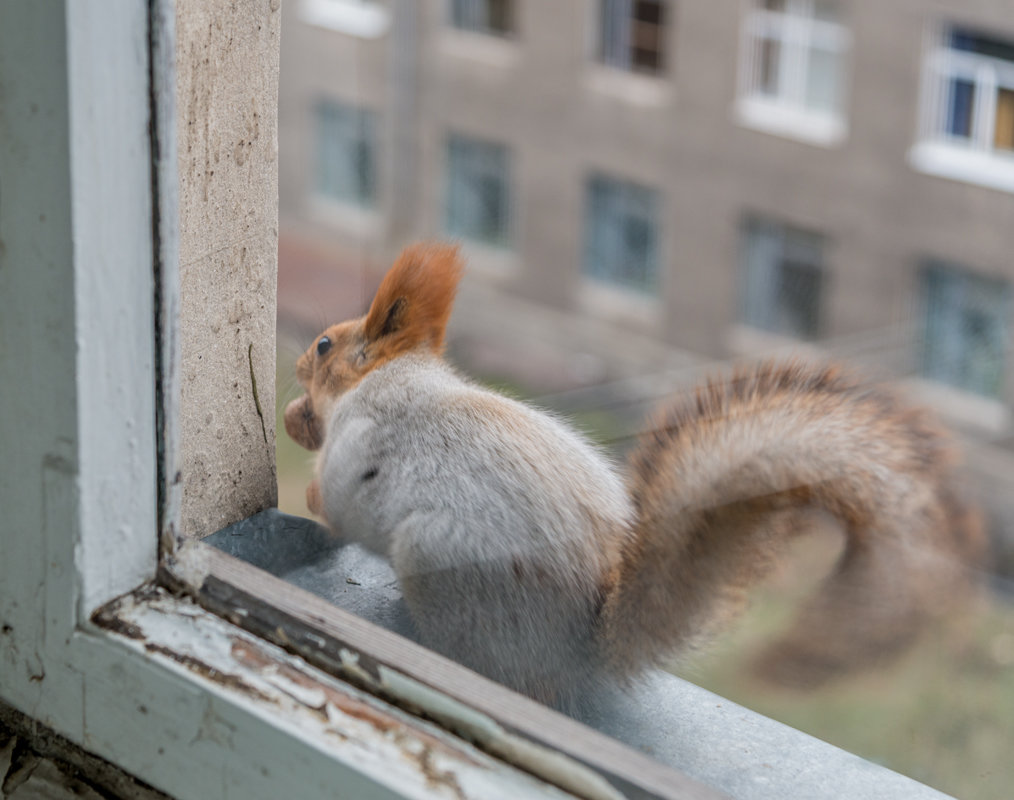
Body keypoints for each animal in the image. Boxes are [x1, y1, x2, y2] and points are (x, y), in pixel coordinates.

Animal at [281, 242, 985, 705]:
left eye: (323, 345)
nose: (295, 368)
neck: (392, 375)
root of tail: (583, 647)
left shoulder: (362, 437)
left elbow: (338, 498)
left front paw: (310, 484)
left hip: (438, 563)